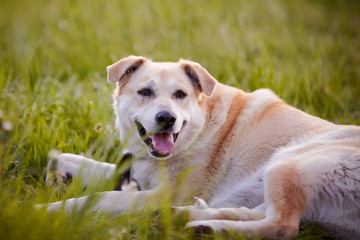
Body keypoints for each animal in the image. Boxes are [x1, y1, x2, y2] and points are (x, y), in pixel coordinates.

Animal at [40, 55, 360, 238]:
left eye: (180, 95)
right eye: (145, 92)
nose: (166, 118)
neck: (197, 130)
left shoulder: (160, 194)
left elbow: (102, 198)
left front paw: (47, 209)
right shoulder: (135, 176)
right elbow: (70, 161)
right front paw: (56, 174)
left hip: (288, 162)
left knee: (282, 226)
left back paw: (206, 226)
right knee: (263, 215)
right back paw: (193, 218)